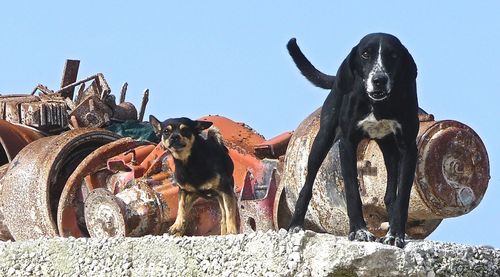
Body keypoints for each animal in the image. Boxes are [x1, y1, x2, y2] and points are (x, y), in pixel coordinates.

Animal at [288, 33, 420, 247]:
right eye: (365, 54)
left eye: (393, 55)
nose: (379, 80)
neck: (378, 104)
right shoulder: (347, 143)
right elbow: (352, 191)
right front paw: (359, 231)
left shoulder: (408, 148)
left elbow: (403, 197)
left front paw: (395, 235)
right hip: (322, 139)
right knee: (307, 184)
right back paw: (296, 225)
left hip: (390, 152)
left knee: (390, 194)